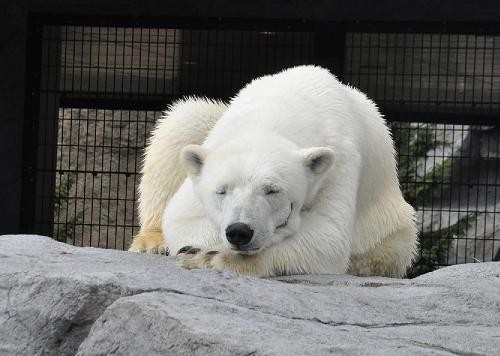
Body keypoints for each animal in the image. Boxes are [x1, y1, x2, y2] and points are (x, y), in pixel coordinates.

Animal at [129, 67, 418, 278]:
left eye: (272, 190)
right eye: (221, 191)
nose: (239, 231)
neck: (279, 112)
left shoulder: (339, 160)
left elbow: (328, 236)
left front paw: (210, 257)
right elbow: (183, 216)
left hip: (388, 229)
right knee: (186, 118)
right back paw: (152, 243)